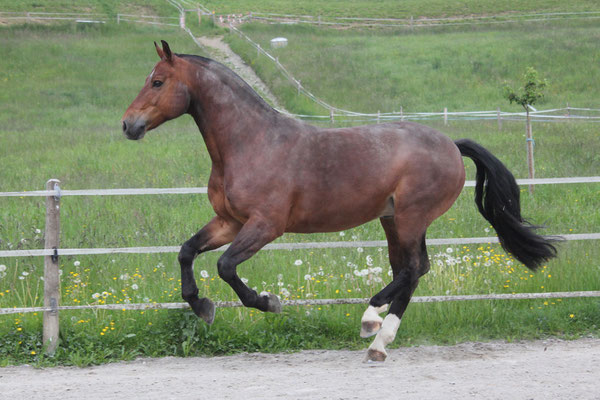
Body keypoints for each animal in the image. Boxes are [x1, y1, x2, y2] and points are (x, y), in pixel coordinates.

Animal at [120, 41, 556, 362]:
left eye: (157, 82)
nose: (128, 125)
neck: (252, 143)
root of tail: (451, 143)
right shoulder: (229, 221)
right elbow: (186, 251)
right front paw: (201, 306)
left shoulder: (266, 225)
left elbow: (226, 266)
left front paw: (267, 302)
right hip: (392, 220)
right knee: (412, 270)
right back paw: (378, 339)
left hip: (412, 217)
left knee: (413, 269)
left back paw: (372, 323)